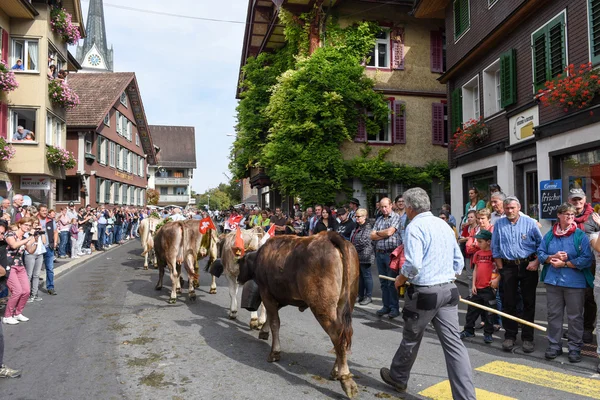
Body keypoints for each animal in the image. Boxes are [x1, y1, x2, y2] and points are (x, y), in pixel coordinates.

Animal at [236, 231, 358, 396]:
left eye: (240, 262)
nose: (238, 278)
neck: (261, 257)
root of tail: (329, 235)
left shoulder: (266, 292)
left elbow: (275, 322)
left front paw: (275, 352)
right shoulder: (282, 295)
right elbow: (272, 316)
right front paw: (264, 331)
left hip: (322, 306)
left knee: (337, 334)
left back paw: (345, 379)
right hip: (344, 303)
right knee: (344, 335)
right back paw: (336, 370)